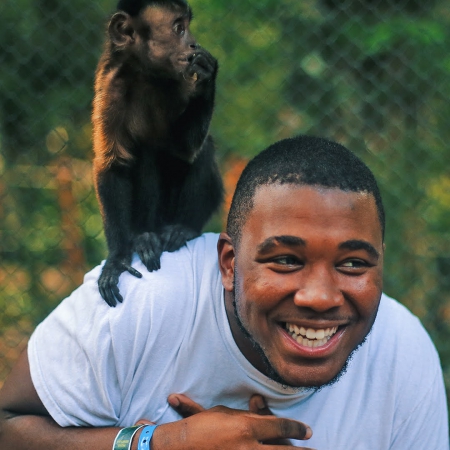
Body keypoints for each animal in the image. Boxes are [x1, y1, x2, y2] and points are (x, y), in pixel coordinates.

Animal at [92, 0, 223, 306]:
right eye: (178, 29)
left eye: (186, 27)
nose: (193, 43)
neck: (146, 76)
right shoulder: (111, 86)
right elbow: (113, 166)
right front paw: (117, 259)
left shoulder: (181, 79)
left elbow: (186, 150)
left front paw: (207, 77)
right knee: (145, 155)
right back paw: (144, 237)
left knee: (200, 152)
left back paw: (182, 229)